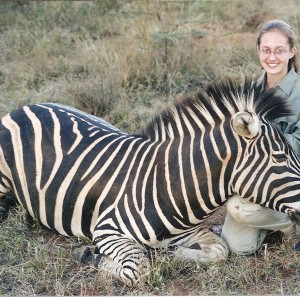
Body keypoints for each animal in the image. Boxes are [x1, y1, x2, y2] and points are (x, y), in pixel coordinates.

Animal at [0, 78, 300, 286]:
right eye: (280, 157)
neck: (169, 186)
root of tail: (25, 106)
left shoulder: (189, 233)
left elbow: (220, 250)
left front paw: (172, 255)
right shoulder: (107, 230)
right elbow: (138, 269)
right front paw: (90, 255)